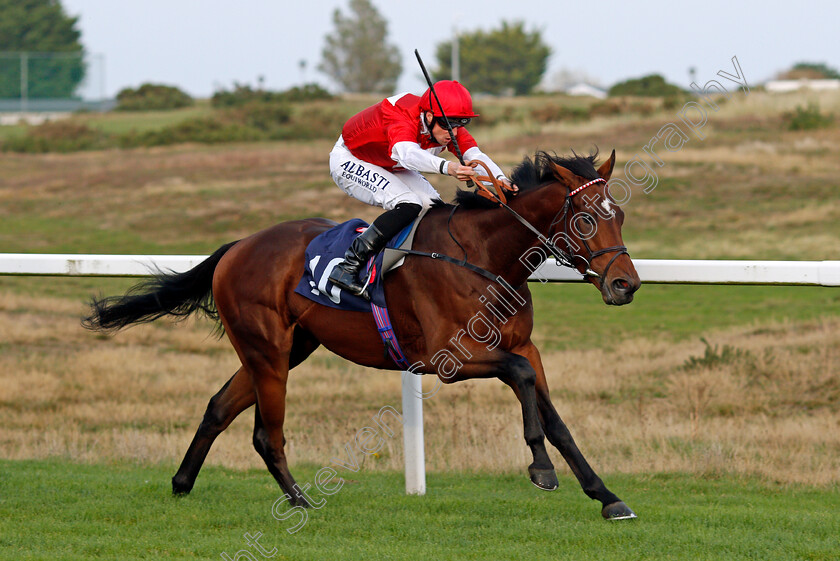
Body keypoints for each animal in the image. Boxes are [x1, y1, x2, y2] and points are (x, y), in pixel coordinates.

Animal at [82, 148, 640, 516]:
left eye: (620, 213)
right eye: (586, 217)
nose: (626, 284)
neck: (484, 256)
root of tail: (238, 245)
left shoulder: (524, 345)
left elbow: (555, 417)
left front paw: (606, 495)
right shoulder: (449, 358)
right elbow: (523, 381)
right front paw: (541, 469)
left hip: (287, 347)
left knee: (219, 407)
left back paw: (182, 483)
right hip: (268, 348)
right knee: (266, 432)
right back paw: (300, 501)